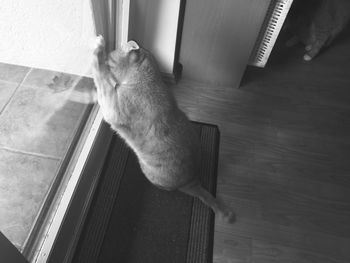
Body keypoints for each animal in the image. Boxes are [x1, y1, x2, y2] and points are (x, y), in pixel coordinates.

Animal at [90, 36, 235, 224]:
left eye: (109, 59)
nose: (107, 57)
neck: (145, 80)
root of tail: (193, 181)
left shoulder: (111, 108)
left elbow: (100, 76)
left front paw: (98, 48)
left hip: (148, 171)